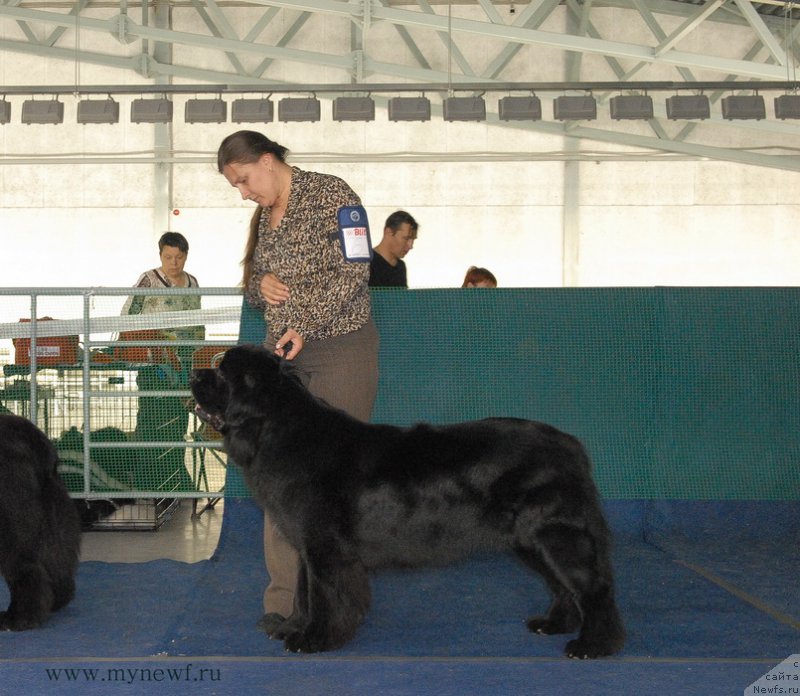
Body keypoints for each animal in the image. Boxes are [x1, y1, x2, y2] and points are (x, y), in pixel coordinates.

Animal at [189, 346, 624, 656]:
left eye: (222, 370)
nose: (194, 373)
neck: (277, 431)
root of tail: (569, 445)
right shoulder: (306, 545)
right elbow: (304, 592)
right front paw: (294, 627)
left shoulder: (325, 546)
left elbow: (325, 595)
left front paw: (313, 640)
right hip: (530, 541)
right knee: (562, 586)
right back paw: (554, 625)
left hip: (555, 533)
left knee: (593, 587)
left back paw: (593, 646)